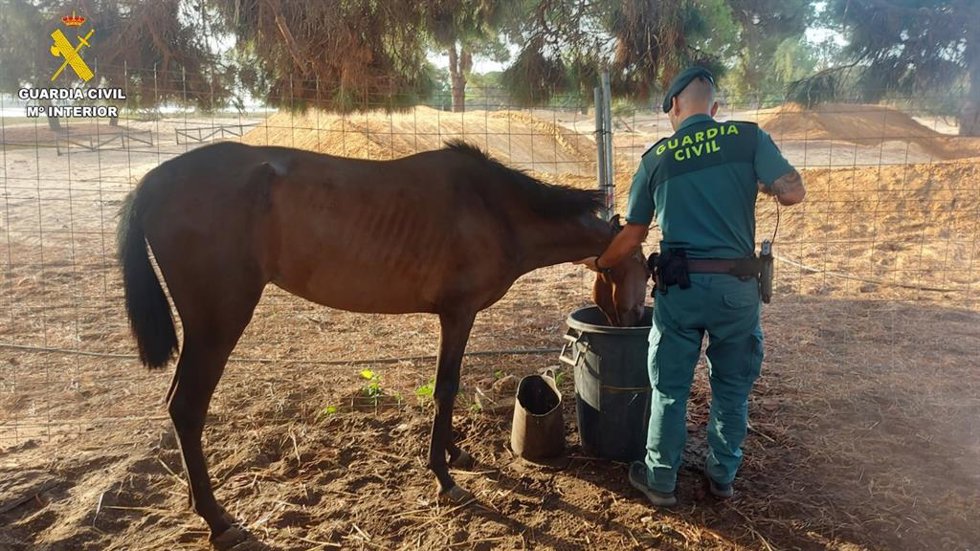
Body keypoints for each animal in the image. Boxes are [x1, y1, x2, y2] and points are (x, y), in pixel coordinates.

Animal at [116, 140, 648, 547]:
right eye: (645, 267)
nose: (634, 321)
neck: (495, 209)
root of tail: (151, 183)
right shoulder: (458, 314)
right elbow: (446, 388)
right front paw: (444, 476)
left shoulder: (453, 318)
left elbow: (446, 387)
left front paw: (454, 455)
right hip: (216, 325)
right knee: (186, 408)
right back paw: (217, 519)